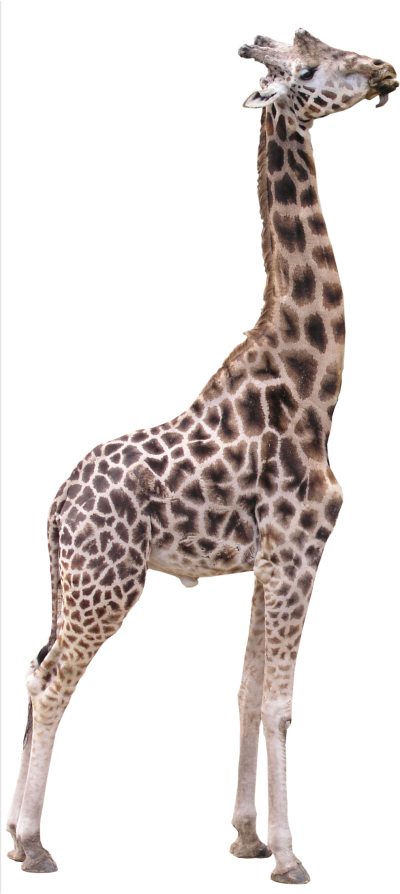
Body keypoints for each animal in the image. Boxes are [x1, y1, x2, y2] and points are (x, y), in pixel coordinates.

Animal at [5, 28, 398, 880]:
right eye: (311, 66)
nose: (387, 72)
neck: (312, 384)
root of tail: (57, 507)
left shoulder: (263, 561)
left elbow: (246, 694)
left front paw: (246, 836)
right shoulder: (300, 547)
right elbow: (280, 702)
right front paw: (289, 854)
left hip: (73, 580)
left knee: (31, 664)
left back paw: (12, 833)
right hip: (110, 584)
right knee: (54, 678)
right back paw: (34, 844)